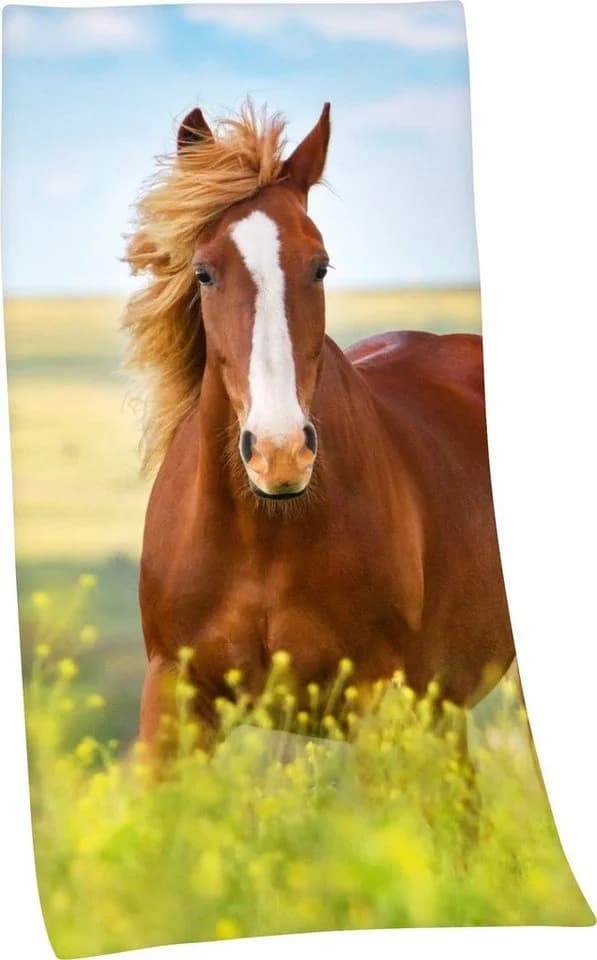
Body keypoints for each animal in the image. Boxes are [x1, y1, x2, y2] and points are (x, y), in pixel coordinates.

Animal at [123, 101, 515, 751]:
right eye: (203, 273)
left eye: (320, 267)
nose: (279, 454)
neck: (264, 535)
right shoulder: (172, 698)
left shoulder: (378, 702)